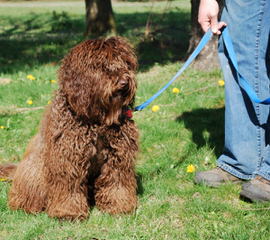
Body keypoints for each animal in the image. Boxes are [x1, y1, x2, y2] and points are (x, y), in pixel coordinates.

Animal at [0, 36, 139, 220]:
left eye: (126, 63)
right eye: (101, 66)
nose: (124, 82)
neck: (96, 120)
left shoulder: (117, 157)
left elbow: (116, 182)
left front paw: (119, 207)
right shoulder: (68, 160)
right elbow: (69, 187)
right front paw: (68, 213)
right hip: (35, 172)